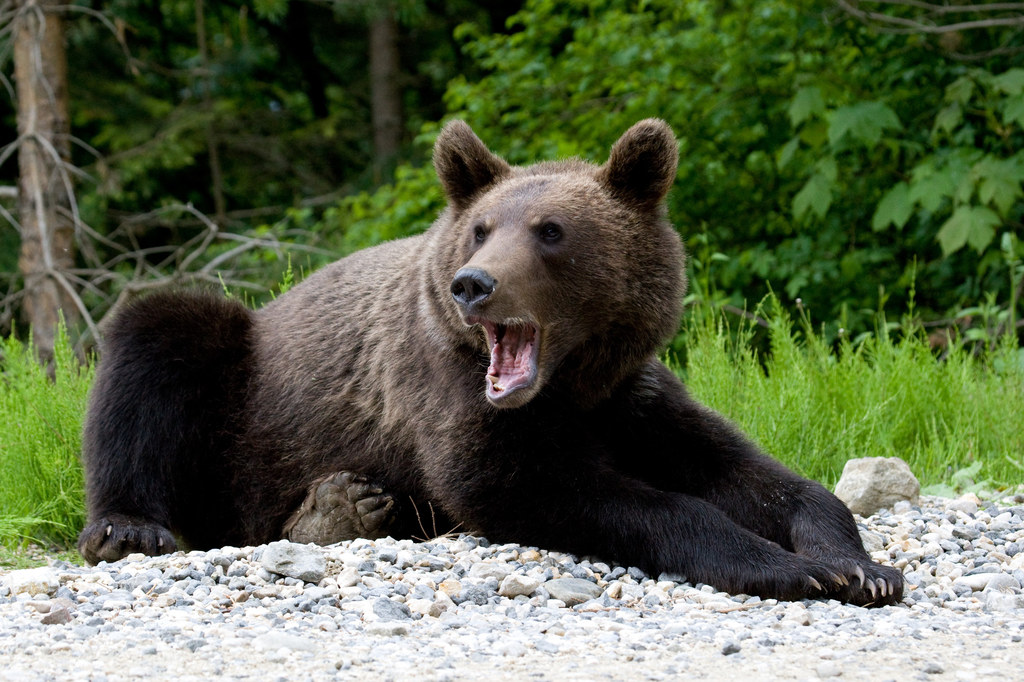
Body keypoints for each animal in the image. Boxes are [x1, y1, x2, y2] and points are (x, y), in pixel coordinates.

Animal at [77, 119, 905, 602]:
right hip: (246, 393)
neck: (569, 384)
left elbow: (755, 474)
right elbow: (547, 486)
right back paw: (131, 527)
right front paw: (794, 568)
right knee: (158, 342)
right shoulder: (448, 396)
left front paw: (859, 564)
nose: (473, 284)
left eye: (550, 230)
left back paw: (340, 507)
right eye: (480, 228)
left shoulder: (630, 398)